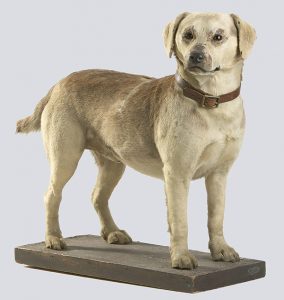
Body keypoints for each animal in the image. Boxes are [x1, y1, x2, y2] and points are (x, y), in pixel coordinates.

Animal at [17, 12, 255, 270]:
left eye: (218, 37)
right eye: (187, 35)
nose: (195, 56)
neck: (211, 100)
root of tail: (58, 84)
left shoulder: (219, 174)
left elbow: (216, 217)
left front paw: (221, 250)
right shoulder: (177, 174)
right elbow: (180, 221)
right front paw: (181, 257)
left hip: (113, 164)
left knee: (97, 196)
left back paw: (112, 232)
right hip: (65, 159)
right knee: (52, 195)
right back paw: (53, 238)